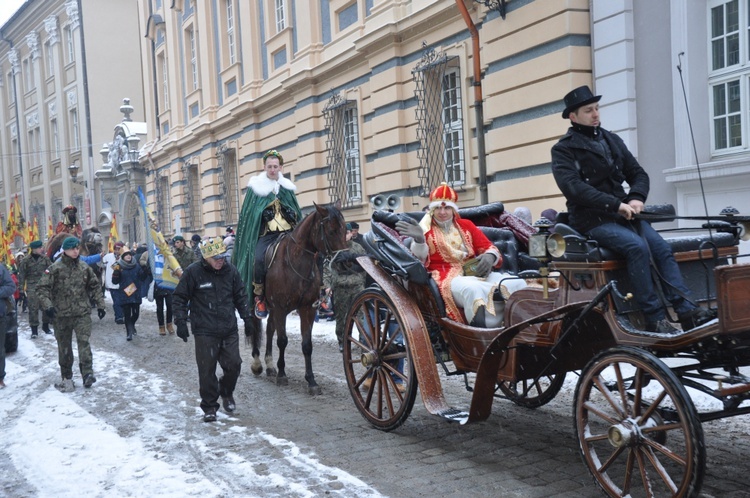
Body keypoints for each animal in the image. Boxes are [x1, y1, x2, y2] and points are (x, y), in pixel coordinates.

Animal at [250, 204, 350, 394]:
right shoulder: (280, 308)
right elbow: (282, 341)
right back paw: (257, 364)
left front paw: (311, 381)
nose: (346, 260)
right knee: (253, 329)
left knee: (269, 329)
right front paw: (282, 375)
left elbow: (307, 345)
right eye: (331, 230)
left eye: (344, 229)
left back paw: (269, 365)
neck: (295, 263)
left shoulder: (307, 308)